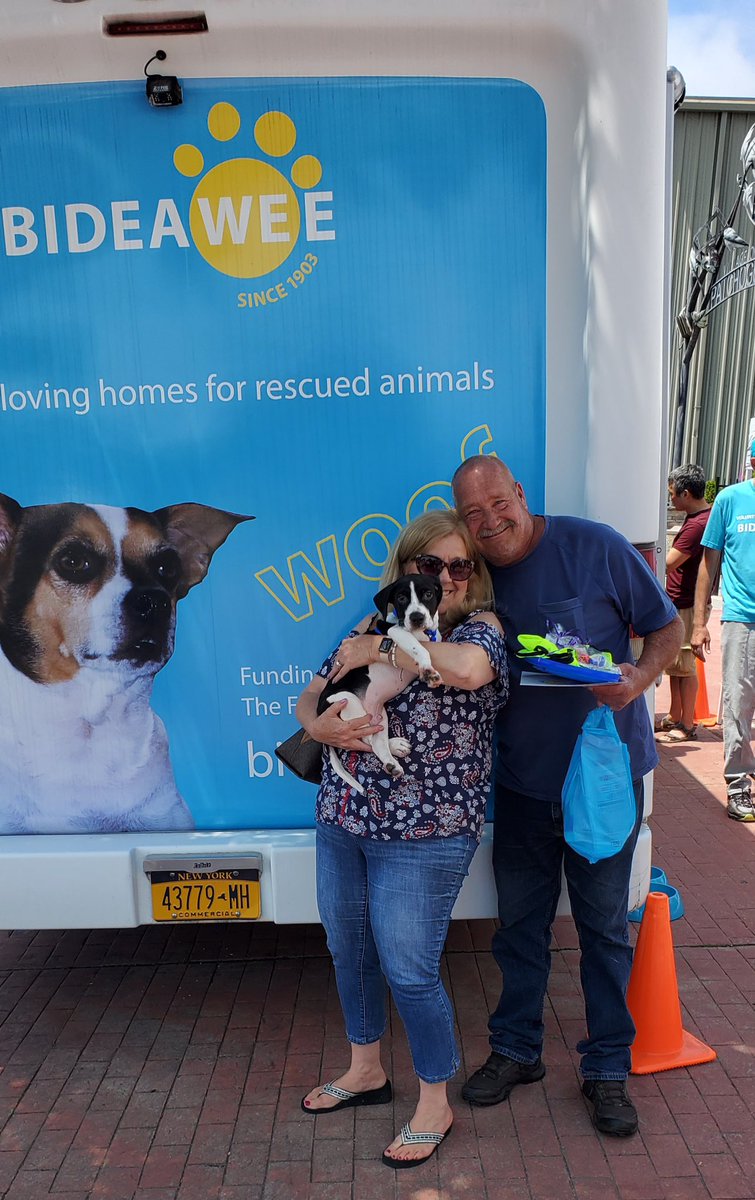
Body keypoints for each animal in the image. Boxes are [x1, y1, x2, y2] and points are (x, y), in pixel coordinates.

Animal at [316, 573, 441, 796]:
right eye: (401, 598)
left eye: (428, 594)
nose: (417, 617)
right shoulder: (396, 632)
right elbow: (418, 647)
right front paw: (427, 668)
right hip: (348, 702)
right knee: (368, 740)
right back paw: (395, 748)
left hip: (378, 712)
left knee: (376, 740)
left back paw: (392, 758)